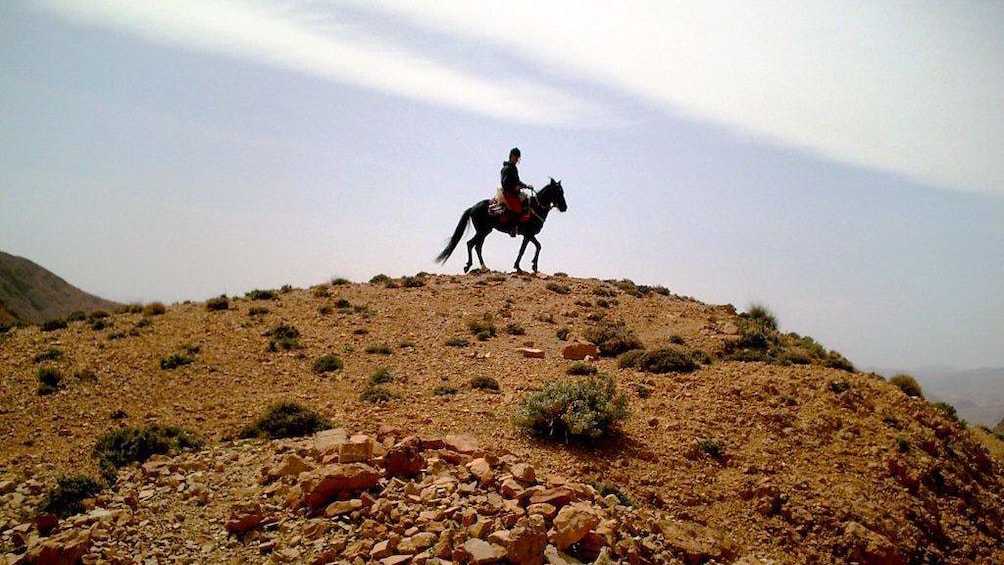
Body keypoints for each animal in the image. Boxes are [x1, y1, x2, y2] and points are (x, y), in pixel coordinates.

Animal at [435, 177, 570, 272]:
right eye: (558, 192)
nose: (564, 207)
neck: (536, 207)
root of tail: (472, 207)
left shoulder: (529, 235)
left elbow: (538, 246)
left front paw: (533, 266)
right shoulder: (528, 234)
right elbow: (525, 249)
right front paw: (519, 267)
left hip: (485, 231)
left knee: (477, 246)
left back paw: (484, 267)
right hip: (482, 231)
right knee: (471, 244)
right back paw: (469, 266)